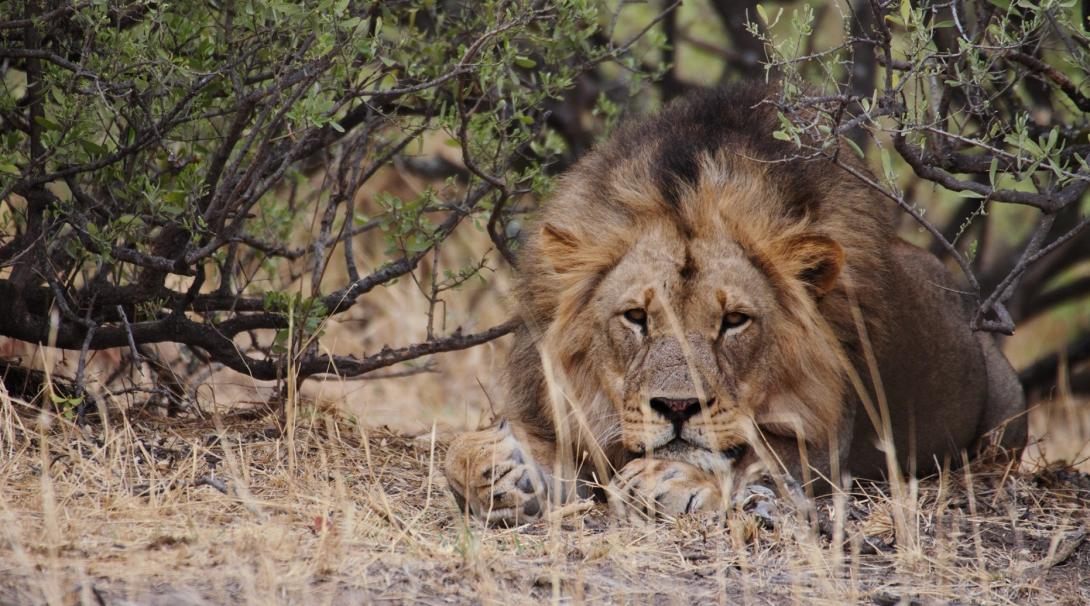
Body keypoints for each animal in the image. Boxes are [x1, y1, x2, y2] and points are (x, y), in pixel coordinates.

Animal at [442, 83, 1020, 525]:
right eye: (636, 318)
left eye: (735, 322)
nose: (677, 408)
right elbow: (458, 452)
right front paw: (501, 473)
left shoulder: (824, 442)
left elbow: (760, 456)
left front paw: (670, 476)